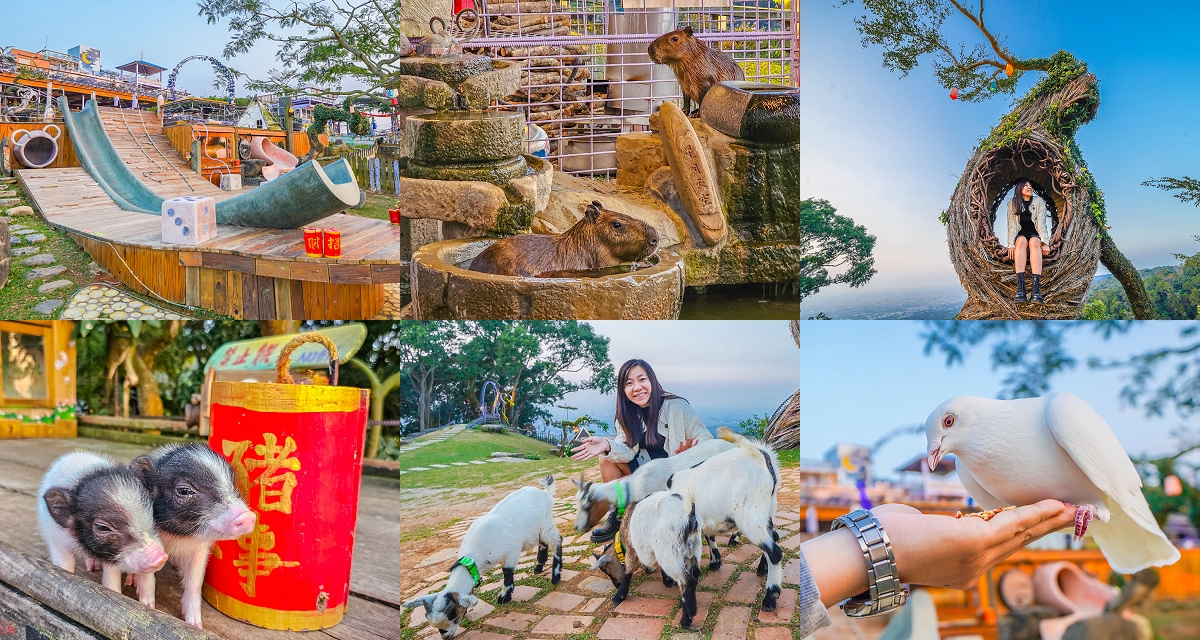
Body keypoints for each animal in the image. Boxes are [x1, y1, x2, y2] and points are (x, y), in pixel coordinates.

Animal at [403, 470, 561, 633]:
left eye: (453, 615)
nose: (446, 635)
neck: (475, 557)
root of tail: (545, 493)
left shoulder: (512, 550)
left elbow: (507, 572)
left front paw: (504, 597)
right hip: (537, 530)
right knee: (543, 543)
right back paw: (538, 567)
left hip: (546, 524)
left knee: (557, 541)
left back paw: (555, 576)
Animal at [672, 427, 782, 612]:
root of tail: (761, 454)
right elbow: (709, 535)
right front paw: (715, 561)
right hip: (767, 509)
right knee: (773, 537)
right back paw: (762, 569)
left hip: (749, 515)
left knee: (774, 551)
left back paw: (770, 597)